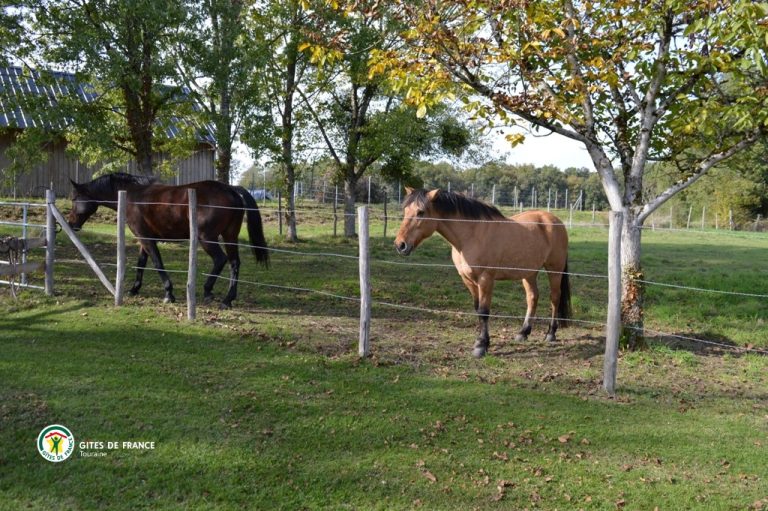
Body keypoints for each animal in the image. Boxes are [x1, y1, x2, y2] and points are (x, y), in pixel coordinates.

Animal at [67, 174, 270, 308]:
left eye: (75, 198)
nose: (70, 224)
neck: (132, 196)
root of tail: (232, 189)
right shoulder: (145, 239)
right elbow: (141, 264)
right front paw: (134, 289)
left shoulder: (147, 240)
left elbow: (158, 264)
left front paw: (168, 294)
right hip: (229, 237)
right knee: (234, 263)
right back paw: (228, 300)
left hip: (207, 239)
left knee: (221, 260)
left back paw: (208, 292)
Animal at [396, 189, 568, 360]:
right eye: (405, 210)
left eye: (421, 212)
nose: (400, 245)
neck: (471, 236)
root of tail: (554, 220)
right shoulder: (468, 280)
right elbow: (477, 308)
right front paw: (482, 342)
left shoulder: (486, 279)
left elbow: (484, 311)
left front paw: (481, 346)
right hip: (529, 273)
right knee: (532, 297)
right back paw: (523, 333)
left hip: (554, 270)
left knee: (555, 298)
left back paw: (551, 333)